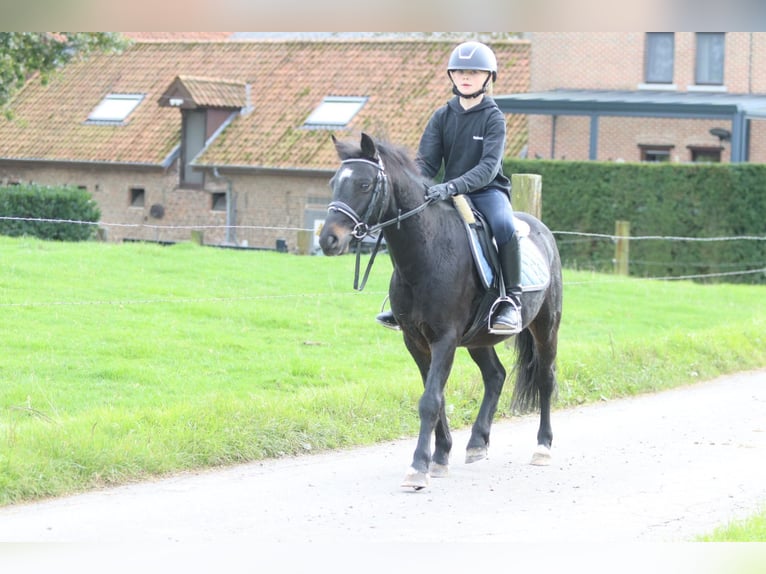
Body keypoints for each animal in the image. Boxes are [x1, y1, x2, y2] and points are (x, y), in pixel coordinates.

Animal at [318, 134, 564, 490]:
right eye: (334, 183)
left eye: (364, 184)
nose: (328, 240)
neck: (426, 254)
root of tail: (542, 230)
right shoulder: (416, 340)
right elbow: (436, 396)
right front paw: (441, 456)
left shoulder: (445, 339)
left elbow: (430, 400)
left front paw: (418, 467)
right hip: (479, 338)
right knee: (495, 376)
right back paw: (477, 442)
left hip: (546, 327)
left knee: (545, 378)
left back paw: (543, 447)